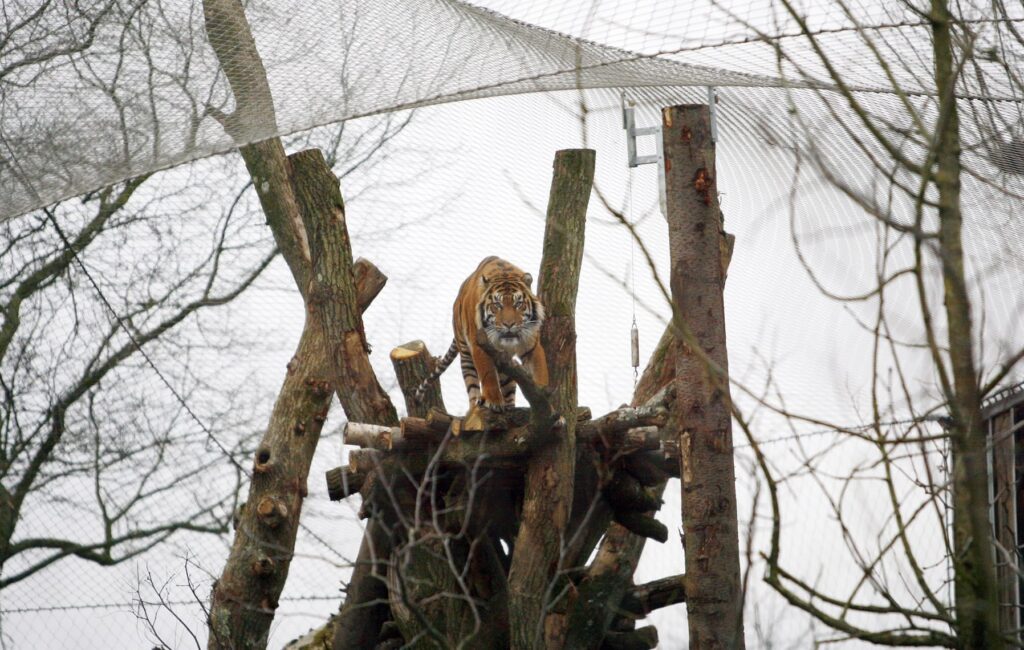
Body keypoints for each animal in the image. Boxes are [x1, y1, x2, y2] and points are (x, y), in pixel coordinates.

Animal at [415, 255, 548, 417]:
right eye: (497, 305)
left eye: (518, 304)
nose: (509, 324)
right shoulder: (478, 344)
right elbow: (488, 374)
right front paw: (494, 402)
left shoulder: (531, 345)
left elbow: (540, 372)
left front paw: (549, 406)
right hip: (466, 354)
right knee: (472, 386)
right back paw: (475, 407)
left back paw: (510, 407)